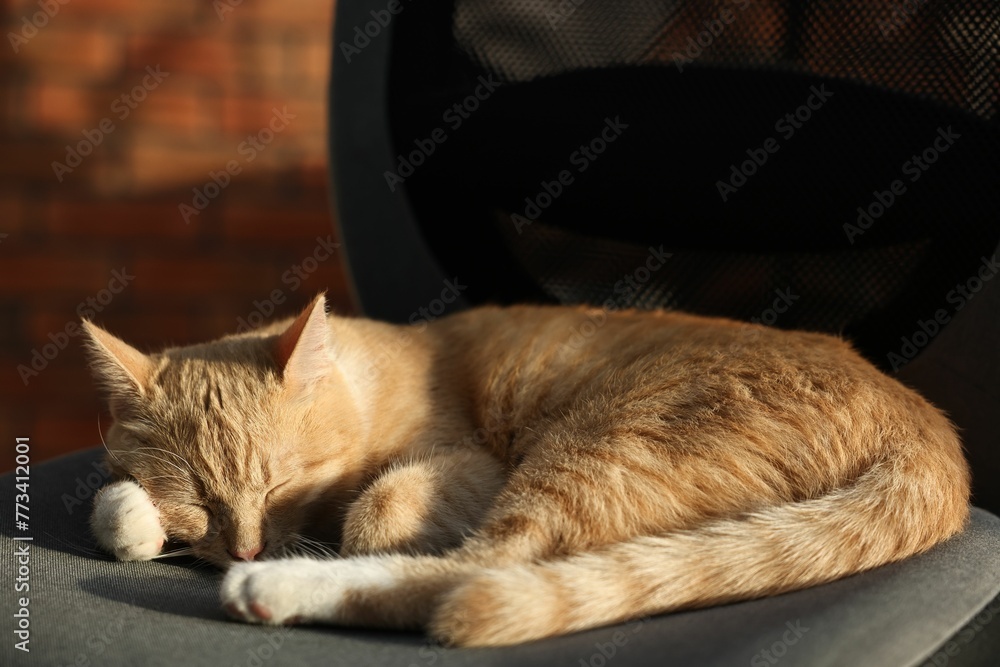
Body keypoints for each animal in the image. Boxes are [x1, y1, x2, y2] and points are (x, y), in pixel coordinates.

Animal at [82, 294, 972, 648]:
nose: (246, 546)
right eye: (201, 496)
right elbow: (114, 496)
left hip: (598, 444)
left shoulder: (471, 464)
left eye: (279, 482)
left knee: (475, 571)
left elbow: (380, 507)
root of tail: (928, 427)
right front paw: (137, 517)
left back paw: (277, 588)